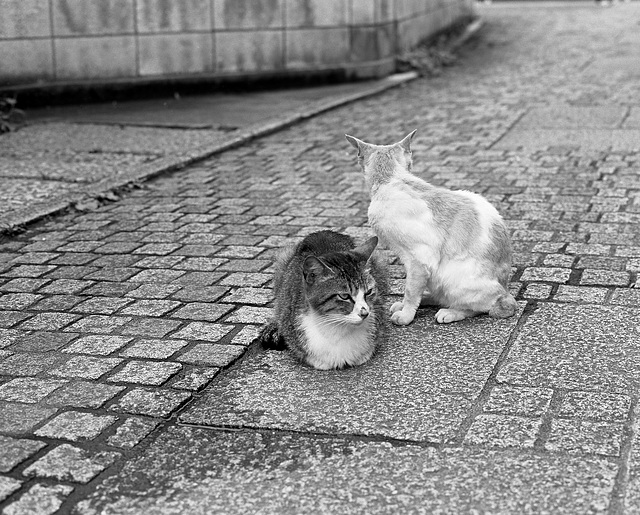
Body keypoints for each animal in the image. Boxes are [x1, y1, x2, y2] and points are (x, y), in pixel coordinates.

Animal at [344, 131, 516, 324]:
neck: (392, 179)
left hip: (455, 279)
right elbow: (412, 290)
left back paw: (450, 312)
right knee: (439, 295)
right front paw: (405, 307)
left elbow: (411, 291)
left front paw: (405, 315)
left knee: (480, 306)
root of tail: (506, 288)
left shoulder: (419, 259)